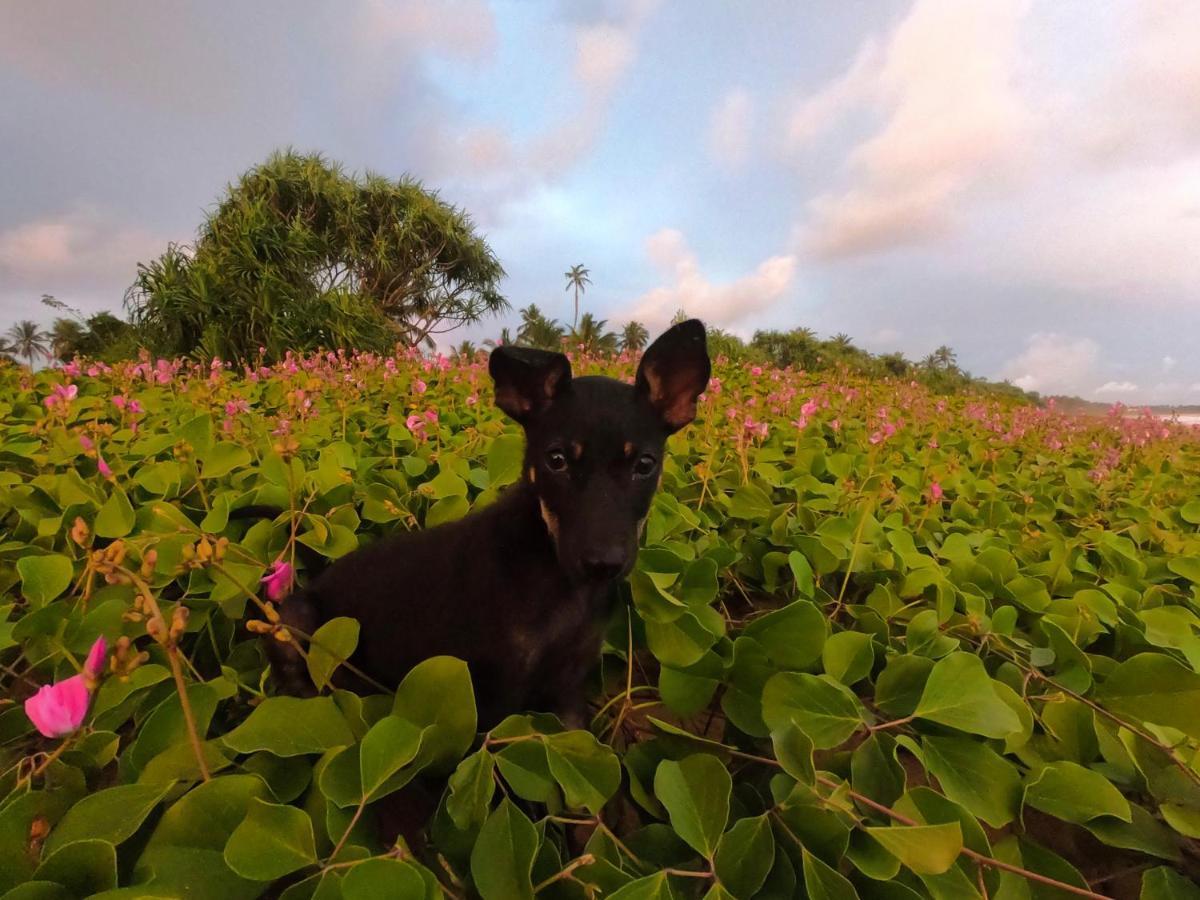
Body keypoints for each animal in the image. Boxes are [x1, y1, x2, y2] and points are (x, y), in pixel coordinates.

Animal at [261, 321, 705, 729]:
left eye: (645, 464)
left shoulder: (569, 687)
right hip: (297, 620)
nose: (603, 565)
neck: (558, 578)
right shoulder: (491, 695)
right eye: (556, 460)